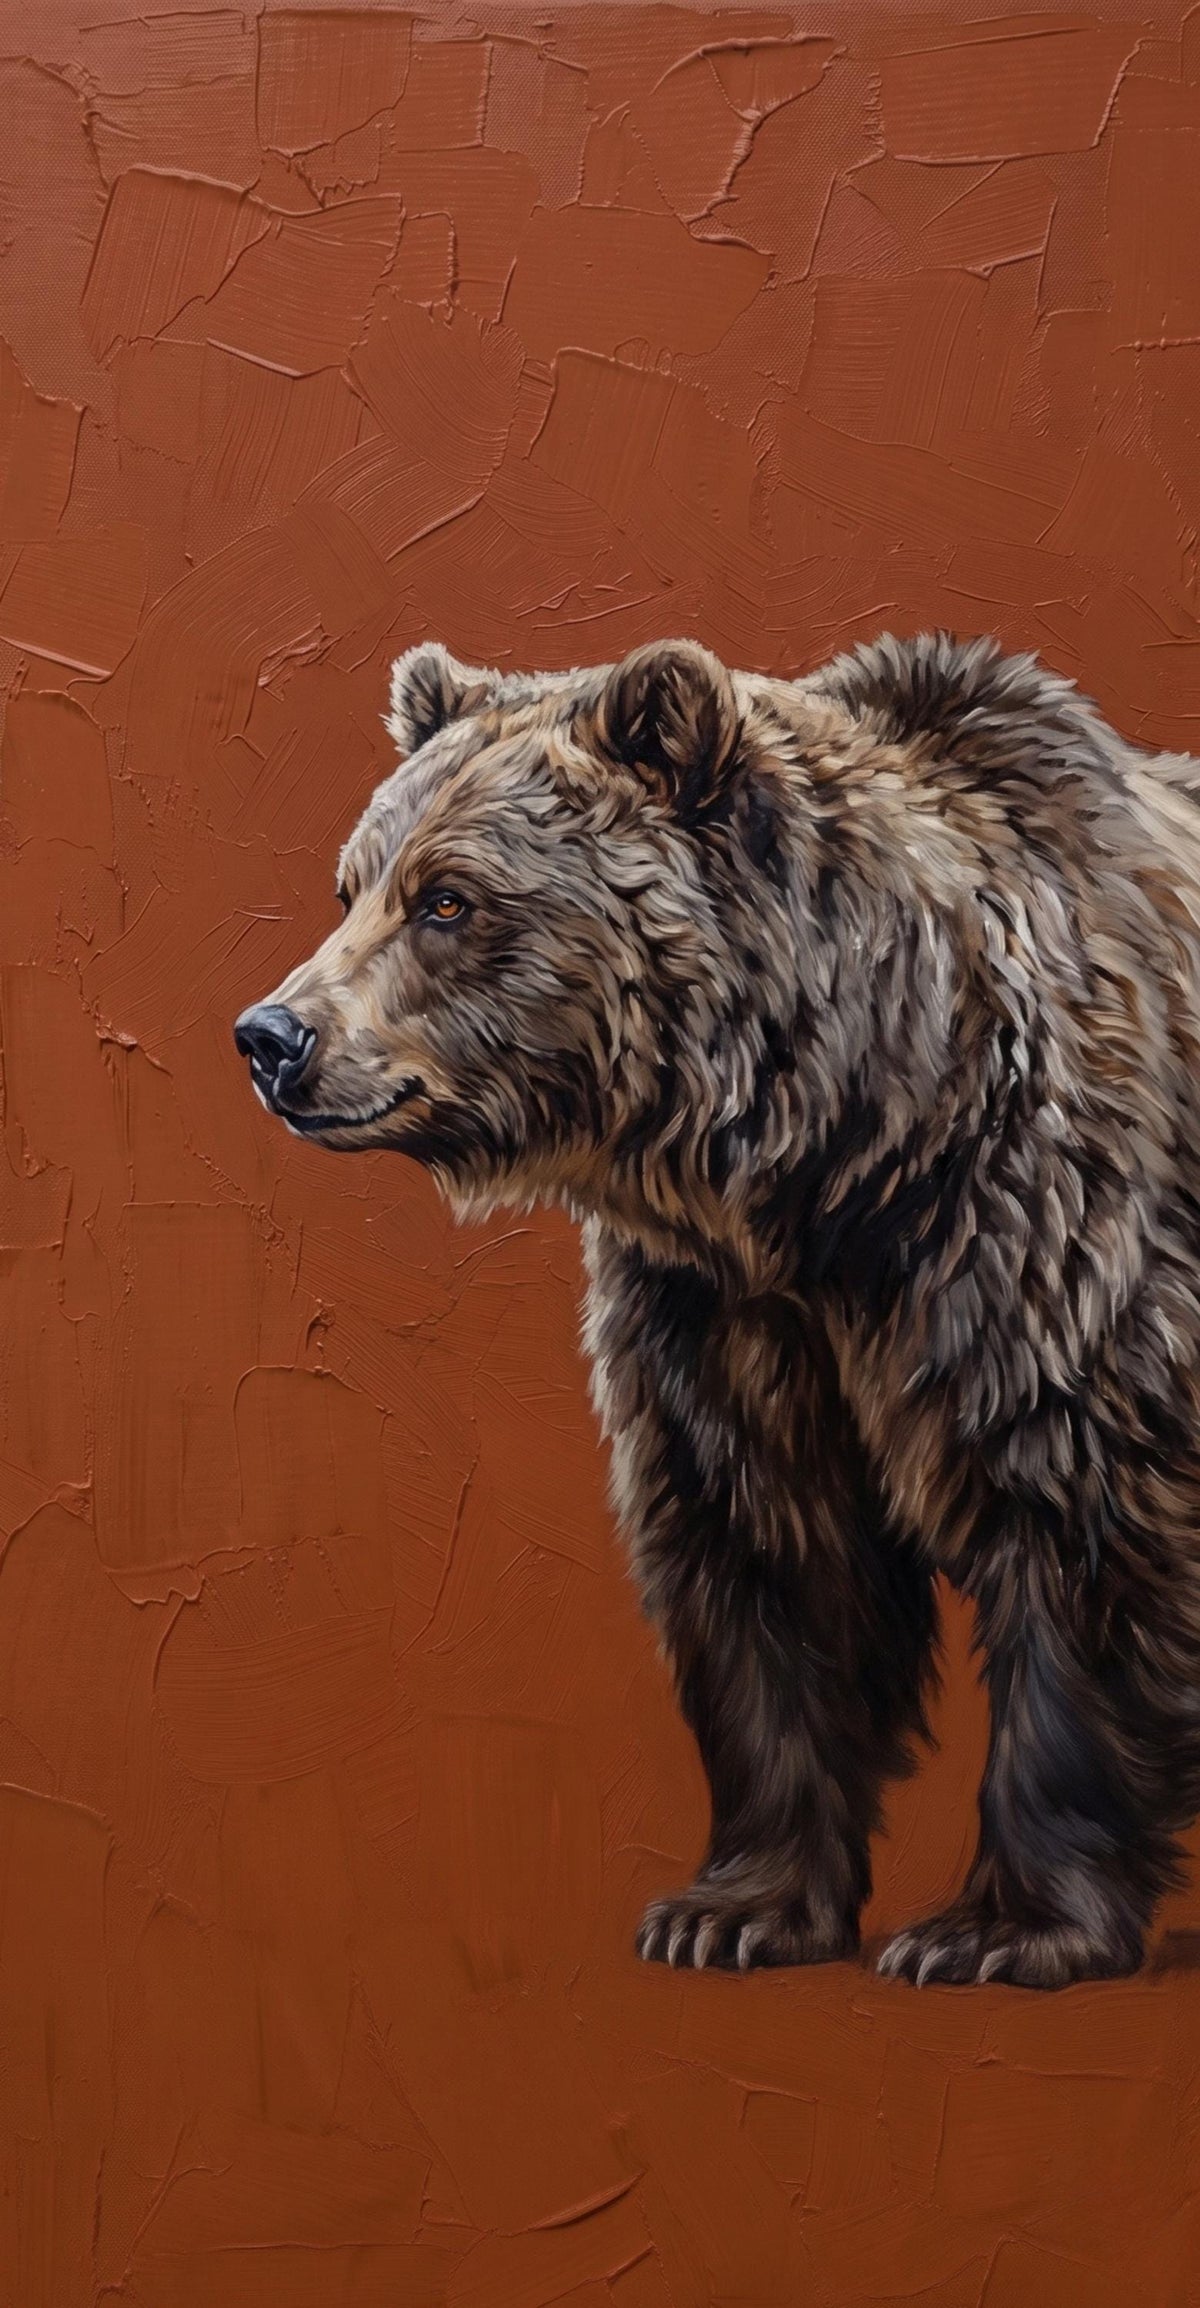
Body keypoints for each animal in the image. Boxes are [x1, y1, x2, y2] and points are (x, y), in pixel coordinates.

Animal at [235, 629, 1200, 1988]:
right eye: (350, 885)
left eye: (449, 899)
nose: (272, 1036)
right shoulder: (724, 1312)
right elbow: (762, 1550)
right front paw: (733, 1907)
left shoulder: (1043, 1238)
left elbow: (1076, 1520)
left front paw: (996, 1929)